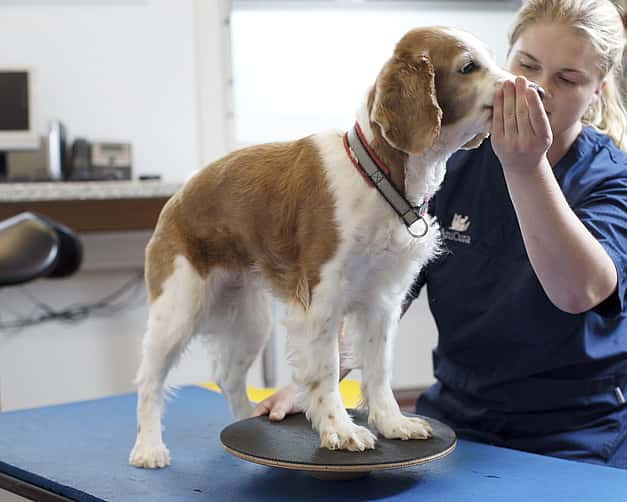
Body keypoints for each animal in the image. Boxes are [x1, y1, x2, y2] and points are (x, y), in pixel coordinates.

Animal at [130, 26, 512, 466]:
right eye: (468, 67)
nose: (529, 87)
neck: (379, 178)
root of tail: (176, 197)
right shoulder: (321, 303)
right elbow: (327, 372)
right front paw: (340, 431)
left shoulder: (382, 302)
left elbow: (378, 370)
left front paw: (393, 422)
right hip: (179, 308)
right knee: (149, 380)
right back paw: (148, 447)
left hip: (250, 319)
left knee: (228, 377)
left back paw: (244, 423)